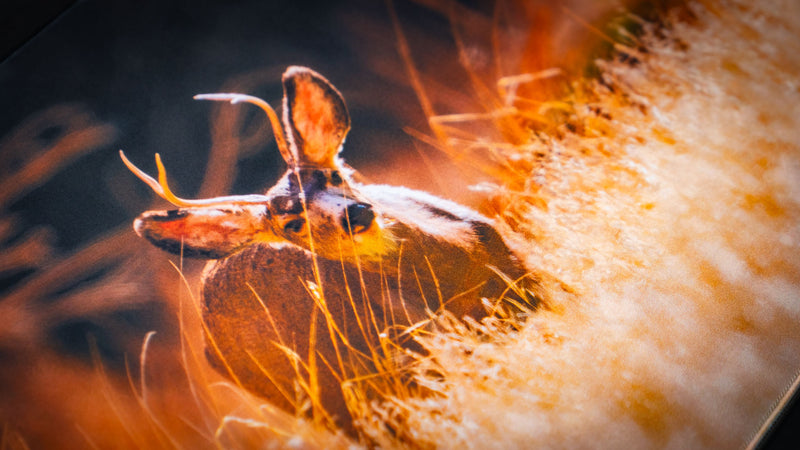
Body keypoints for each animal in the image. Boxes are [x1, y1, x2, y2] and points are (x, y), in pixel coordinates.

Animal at [120, 66, 541, 432]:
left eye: (334, 175)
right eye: (292, 224)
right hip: (325, 400)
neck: (465, 272)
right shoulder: (427, 341)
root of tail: (206, 343)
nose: (355, 214)